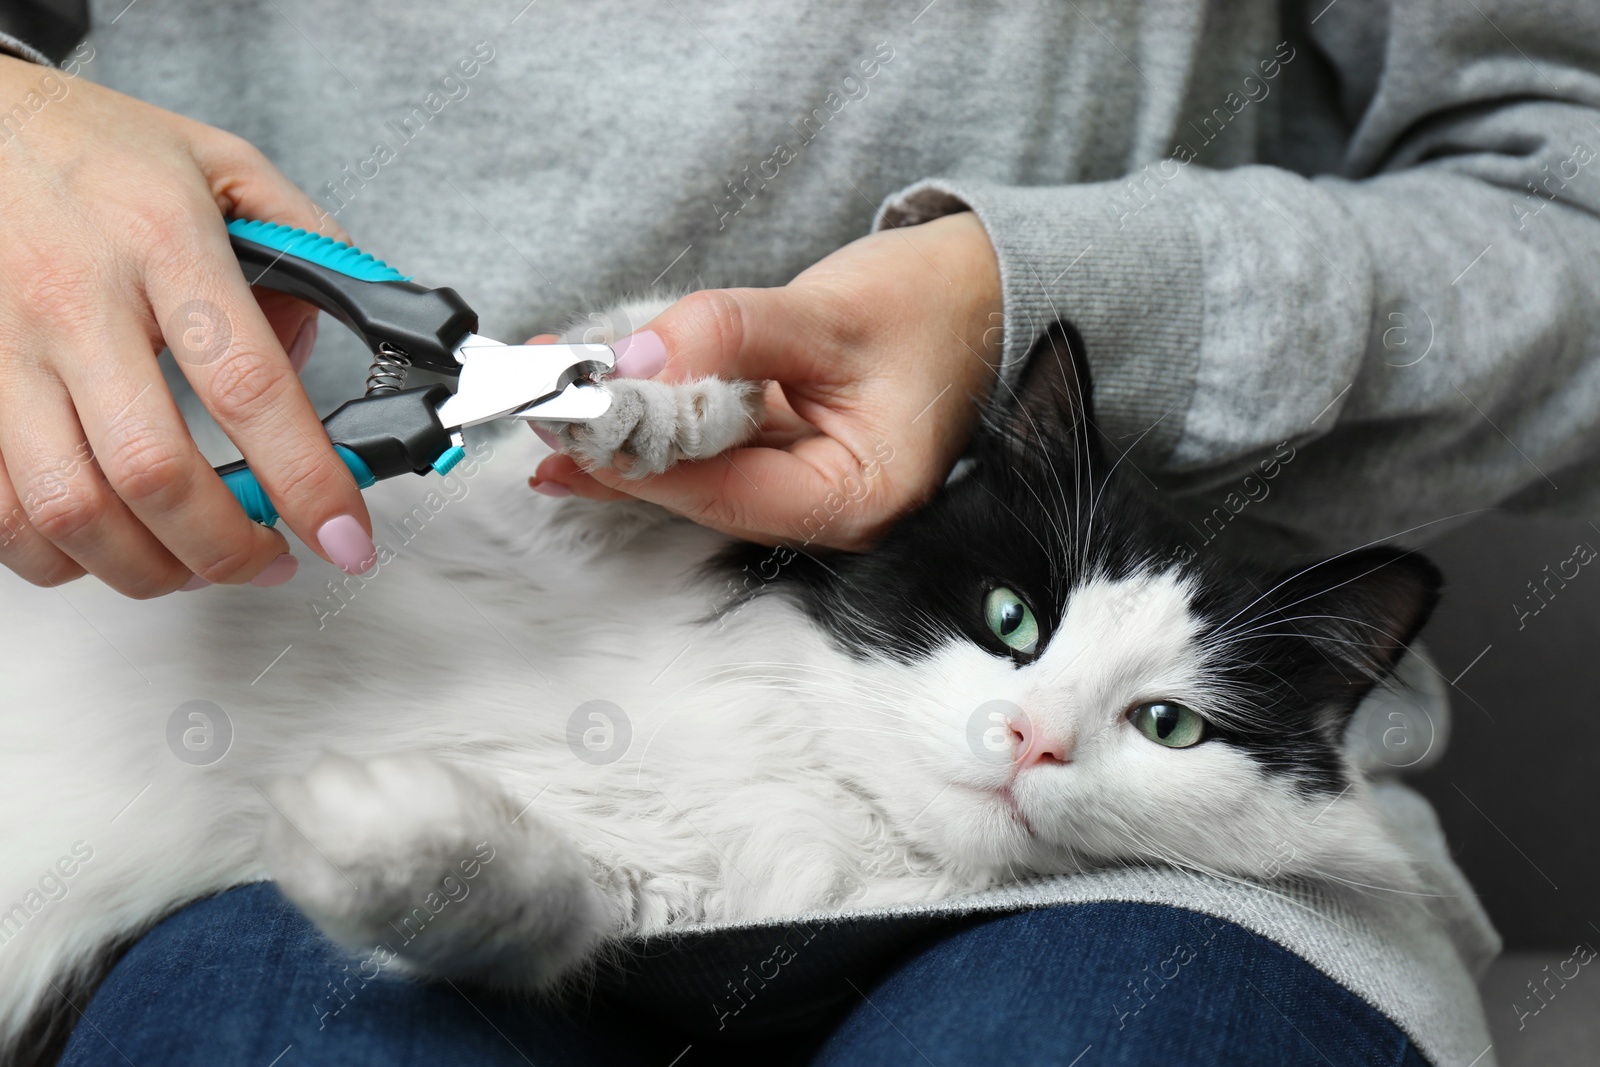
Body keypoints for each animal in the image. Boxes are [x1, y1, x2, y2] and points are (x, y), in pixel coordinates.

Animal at [0, 299, 1440, 1062]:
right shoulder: (562, 526)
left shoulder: (647, 911)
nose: (1031, 736)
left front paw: (371, 832)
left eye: (1167, 725)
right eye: (1012, 620)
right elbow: (654, 393)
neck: (797, 759)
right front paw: (644, 408)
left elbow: (499, 898)